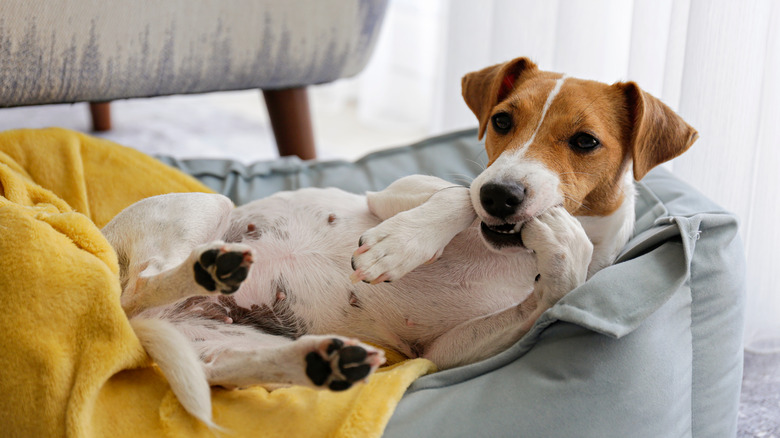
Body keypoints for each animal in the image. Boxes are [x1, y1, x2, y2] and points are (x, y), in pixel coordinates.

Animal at [102, 56, 696, 426]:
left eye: (585, 141)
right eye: (502, 121)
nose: (501, 194)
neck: (512, 255)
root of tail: (138, 326)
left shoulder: (444, 352)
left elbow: (558, 285)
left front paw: (566, 249)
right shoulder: (394, 193)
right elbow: (455, 196)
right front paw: (402, 244)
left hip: (225, 341)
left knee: (228, 368)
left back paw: (323, 363)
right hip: (207, 211)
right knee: (146, 283)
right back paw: (212, 269)